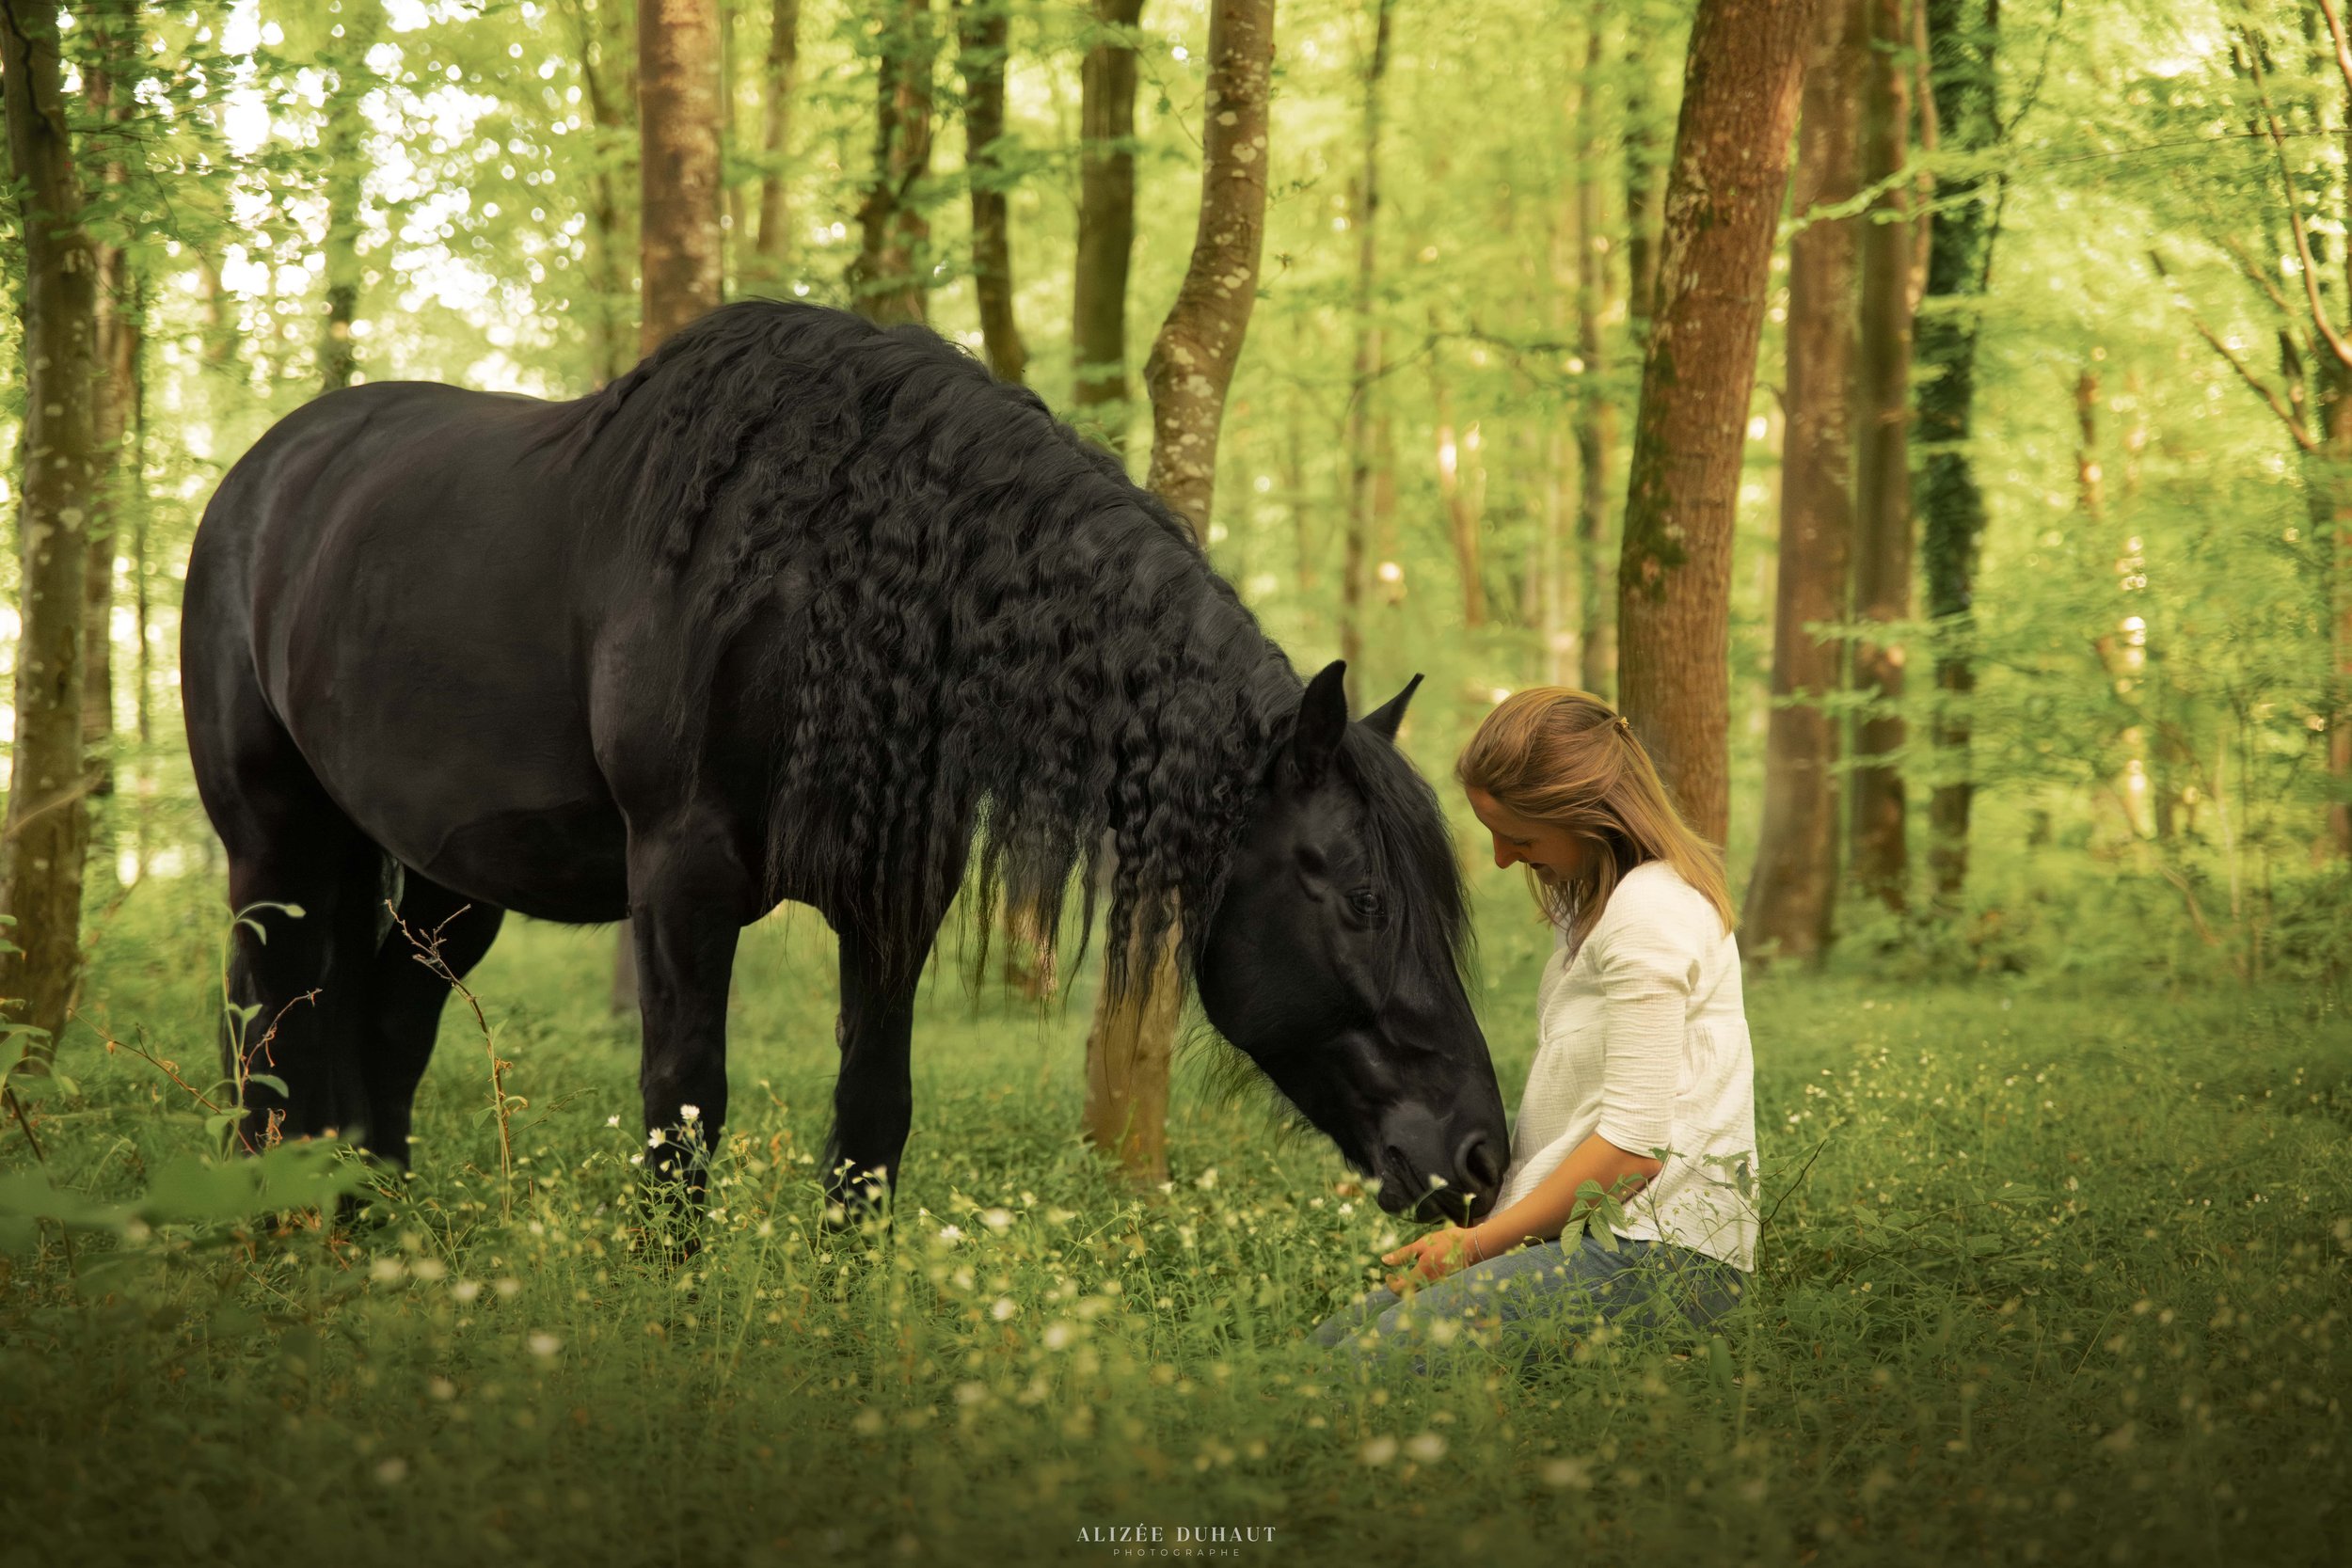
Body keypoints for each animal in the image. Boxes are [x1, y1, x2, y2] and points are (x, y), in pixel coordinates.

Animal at [180, 299, 1510, 1227]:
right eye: (1361, 895)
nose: (1481, 1155)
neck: (822, 587)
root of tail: (262, 476)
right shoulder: (682, 882)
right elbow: (683, 1114)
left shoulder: (893, 894)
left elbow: (872, 1123)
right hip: (275, 850)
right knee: (264, 1041)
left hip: (447, 885)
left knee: (381, 1041)